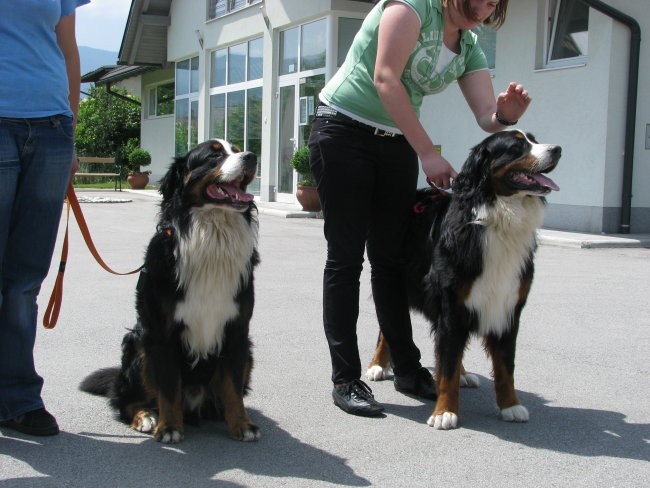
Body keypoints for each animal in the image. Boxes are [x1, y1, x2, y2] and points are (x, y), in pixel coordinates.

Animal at [81, 139, 260, 444]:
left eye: (237, 150)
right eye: (213, 155)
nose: (252, 156)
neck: (212, 237)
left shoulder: (237, 330)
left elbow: (233, 387)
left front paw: (242, 424)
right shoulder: (162, 333)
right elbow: (168, 387)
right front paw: (169, 427)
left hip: (247, 352)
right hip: (138, 344)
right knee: (125, 400)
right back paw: (146, 417)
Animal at [364, 129, 556, 428]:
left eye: (535, 140)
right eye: (516, 146)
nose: (557, 150)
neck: (496, 219)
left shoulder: (507, 307)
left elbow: (505, 367)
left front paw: (511, 406)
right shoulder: (451, 305)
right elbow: (448, 365)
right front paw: (444, 411)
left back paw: (463, 374)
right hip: (396, 278)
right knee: (389, 325)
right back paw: (377, 365)